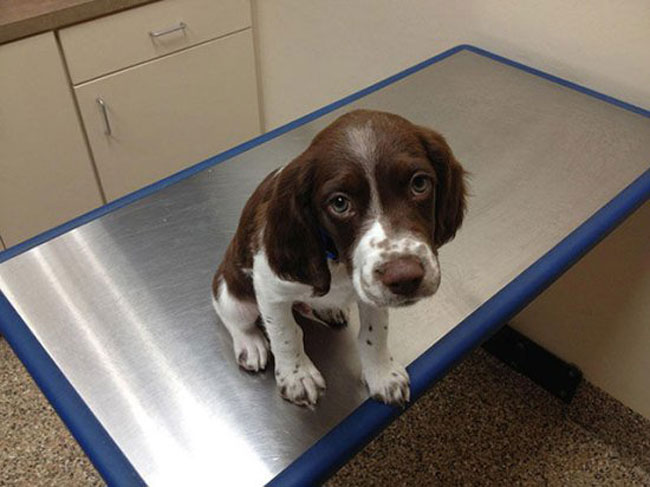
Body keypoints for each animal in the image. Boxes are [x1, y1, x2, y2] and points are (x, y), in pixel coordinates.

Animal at [213, 109, 466, 408]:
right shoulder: (270, 289)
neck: (339, 265)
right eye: (340, 203)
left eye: (419, 183)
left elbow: (374, 333)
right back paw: (250, 343)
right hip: (232, 290)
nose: (405, 278)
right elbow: (286, 334)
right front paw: (297, 376)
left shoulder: (372, 290)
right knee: (231, 314)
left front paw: (382, 373)